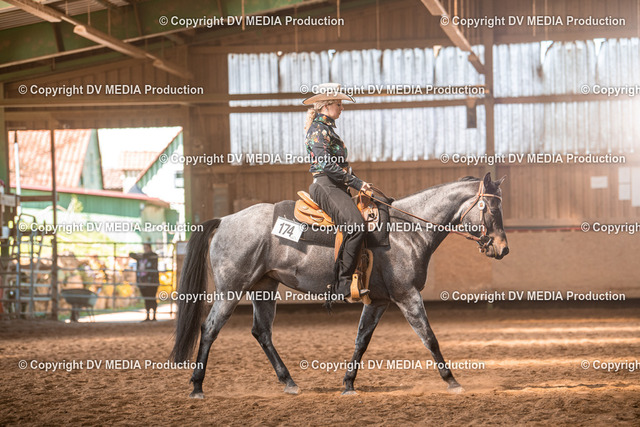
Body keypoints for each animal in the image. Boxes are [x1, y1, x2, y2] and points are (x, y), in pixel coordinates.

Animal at [171, 172, 509, 398]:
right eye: (491, 209)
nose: (503, 249)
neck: (406, 231)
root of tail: (225, 220)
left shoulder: (379, 301)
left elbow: (361, 341)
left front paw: (348, 384)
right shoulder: (407, 296)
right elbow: (430, 338)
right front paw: (452, 381)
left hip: (264, 289)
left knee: (261, 332)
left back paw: (289, 382)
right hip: (230, 291)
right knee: (210, 329)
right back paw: (197, 386)